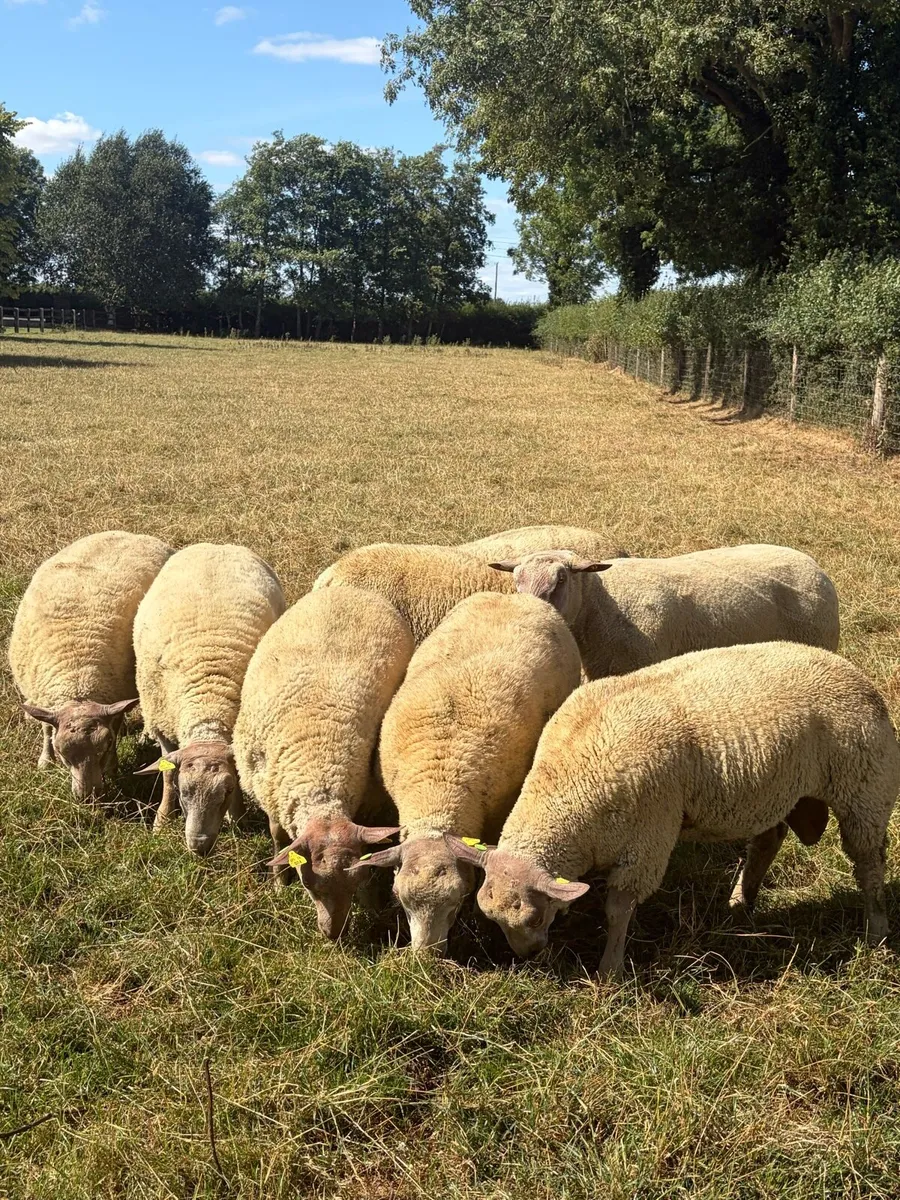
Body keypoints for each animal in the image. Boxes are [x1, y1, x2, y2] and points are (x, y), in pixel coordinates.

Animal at [9, 530, 173, 800]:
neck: (76, 675)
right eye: (62, 753)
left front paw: (114, 768)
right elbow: (45, 727)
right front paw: (45, 761)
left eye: (105, 747)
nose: (88, 797)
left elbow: (116, 726)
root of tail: (130, 533)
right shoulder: (42, 695)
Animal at [132, 543, 287, 855]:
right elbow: (167, 773)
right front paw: (162, 821)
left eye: (226, 791)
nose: (199, 846)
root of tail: (220, 545)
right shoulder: (163, 725)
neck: (208, 704)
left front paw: (237, 819)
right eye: (185, 792)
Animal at [232, 586, 414, 939]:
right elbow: (278, 838)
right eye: (309, 887)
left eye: (356, 883)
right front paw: (280, 883)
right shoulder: (270, 790)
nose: (333, 935)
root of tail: (353, 590)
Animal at [446, 641, 899, 976]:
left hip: (864, 790)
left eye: (535, 920)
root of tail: (854, 672)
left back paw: (875, 932)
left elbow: (618, 909)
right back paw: (741, 901)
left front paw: (610, 971)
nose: (528, 957)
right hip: (777, 790)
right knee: (768, 840)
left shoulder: (649, 839)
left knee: (868, 864)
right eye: (493, 920)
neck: (570, 782)